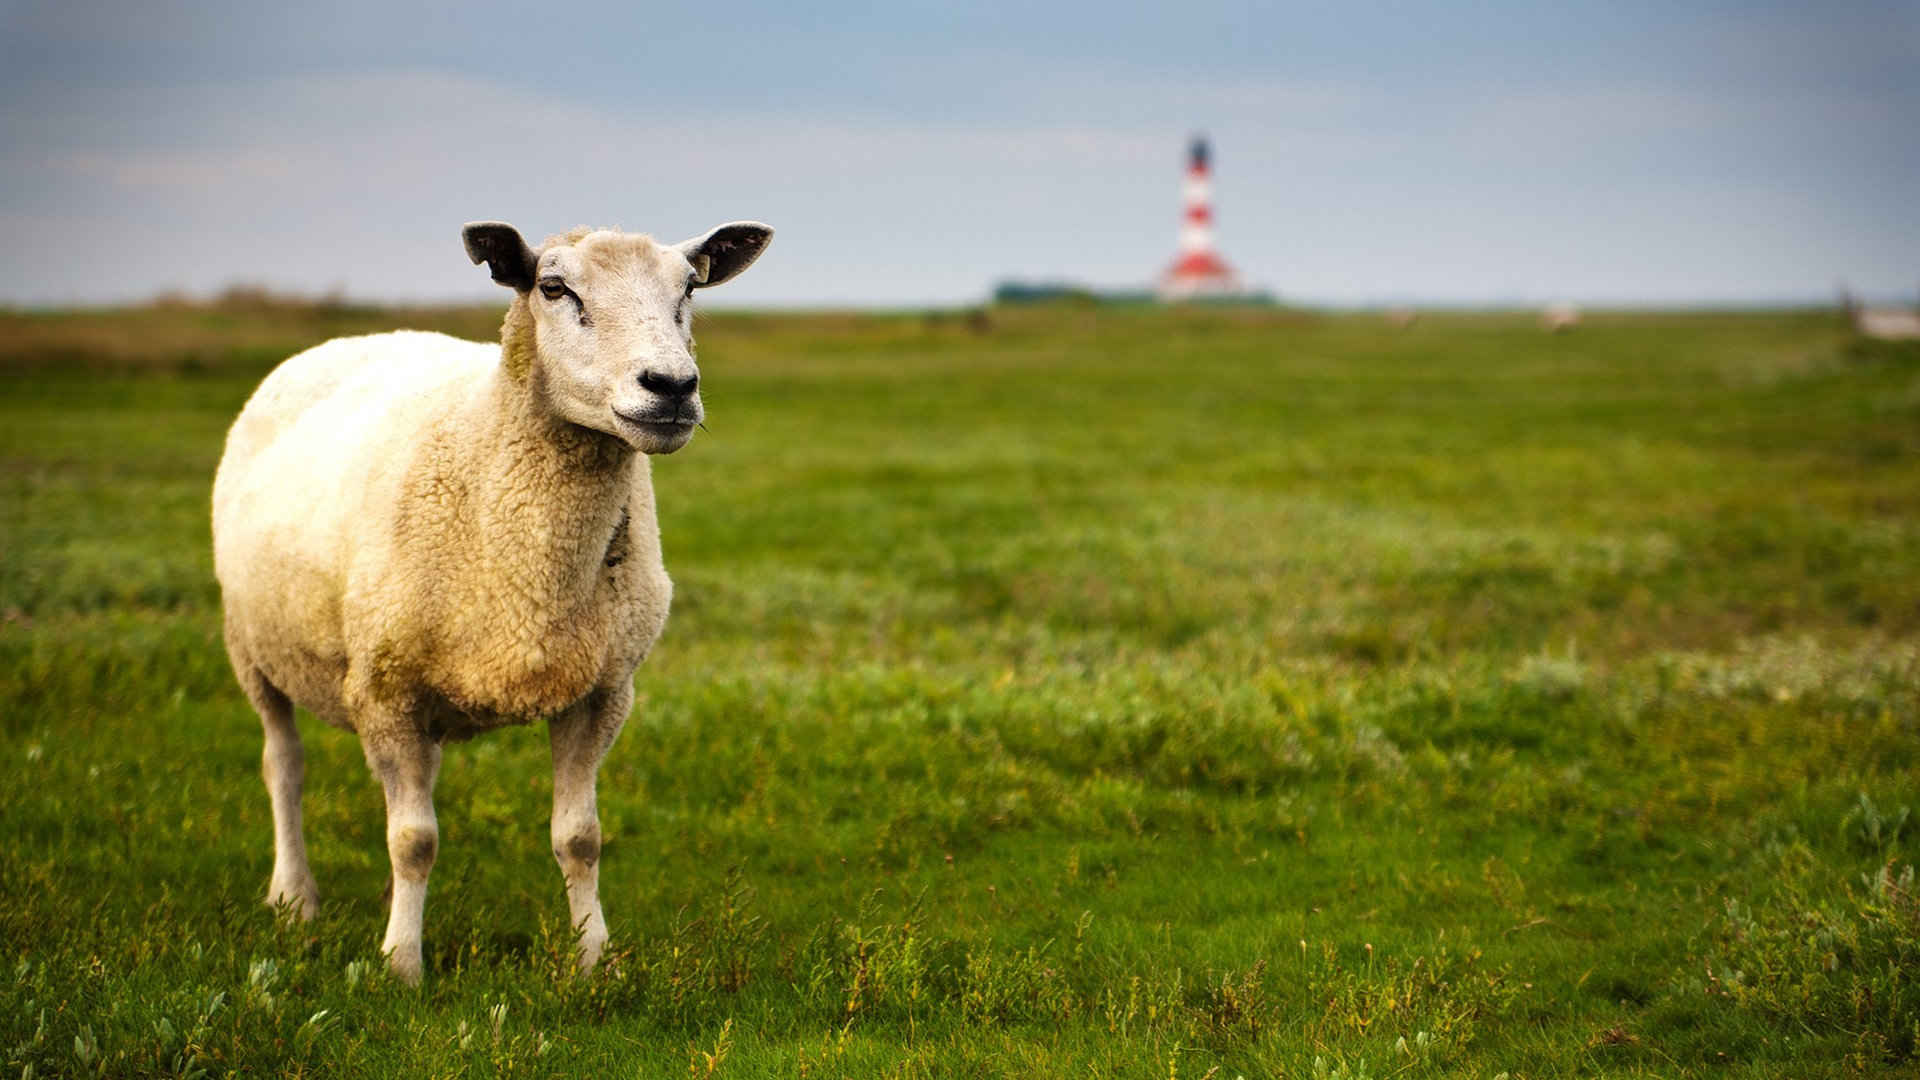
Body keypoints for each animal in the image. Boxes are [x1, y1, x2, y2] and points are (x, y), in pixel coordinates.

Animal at [208, 216, 771, 976]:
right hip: (252, 646)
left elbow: (580, 837)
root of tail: (350, 340)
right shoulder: (384, 690)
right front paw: (401, 964)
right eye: (554, 288)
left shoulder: (602, 689)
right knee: (283, 767)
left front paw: (594, 959)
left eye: (689, 287)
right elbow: (412, 840)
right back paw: (294, 897)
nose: (672, 386)